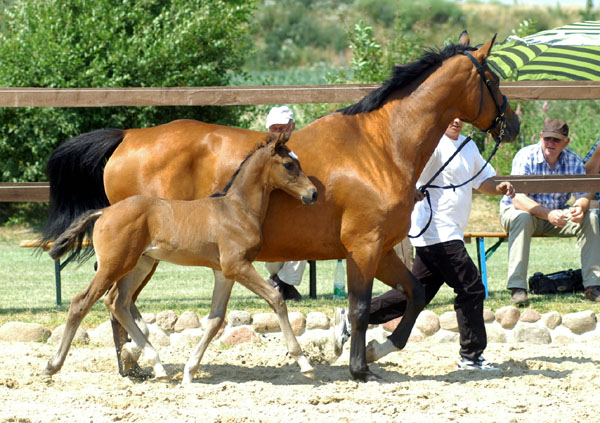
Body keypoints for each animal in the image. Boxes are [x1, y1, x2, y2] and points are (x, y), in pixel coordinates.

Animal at [43, 133, 318, 384]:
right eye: (289, 164)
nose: (313, 193)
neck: (237, 209)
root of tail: (104, 211)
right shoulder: (237, 265)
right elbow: (276, 298)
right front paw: (303, 362)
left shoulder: (224, 272)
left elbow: (216, 320)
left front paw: (189, 371)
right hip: (115, 264)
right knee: (83, 301)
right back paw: (52, 366)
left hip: (140, 264)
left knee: (117, 302)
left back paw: (158, 366)